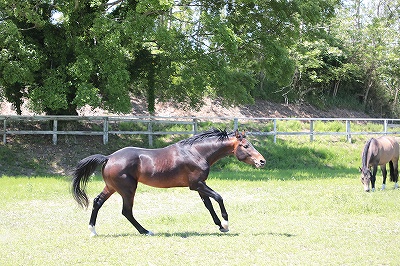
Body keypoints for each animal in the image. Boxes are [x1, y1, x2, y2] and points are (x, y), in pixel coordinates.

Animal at [72, 128, 266, 235]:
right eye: (246, 146)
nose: (262, 161)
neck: (197, 152)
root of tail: (108, 157)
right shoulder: (197, 185)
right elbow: (218, 197)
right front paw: (225, 223)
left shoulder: (199, 186)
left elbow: (208, 205)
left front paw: (220, 226)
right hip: (128, 190)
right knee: (126, 211)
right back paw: (146, 231)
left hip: (111, 187)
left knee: (97, 202)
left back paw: (93, 230)